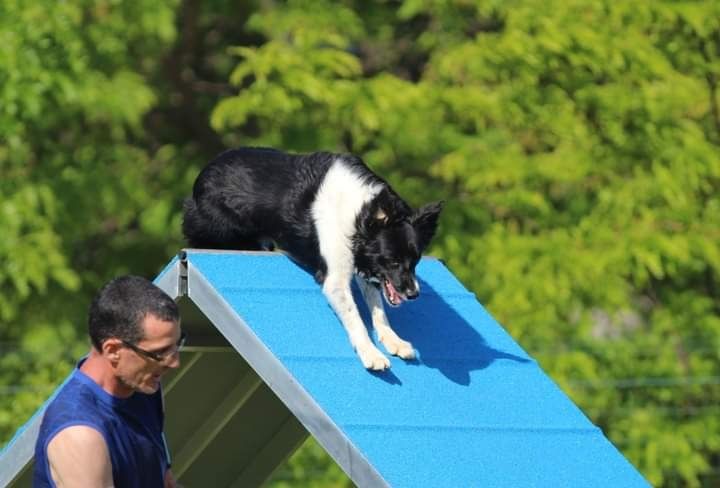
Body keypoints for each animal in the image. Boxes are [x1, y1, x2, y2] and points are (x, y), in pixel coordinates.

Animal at [184, 148, 444, 370]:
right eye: (393, 261)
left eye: (415, 261)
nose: (413, 294)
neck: (358, 212)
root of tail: (202, 175)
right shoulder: (335, 279)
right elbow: (356, 317)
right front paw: (371, 353)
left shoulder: (364, 263)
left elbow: (378, 309)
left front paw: (394, 341)